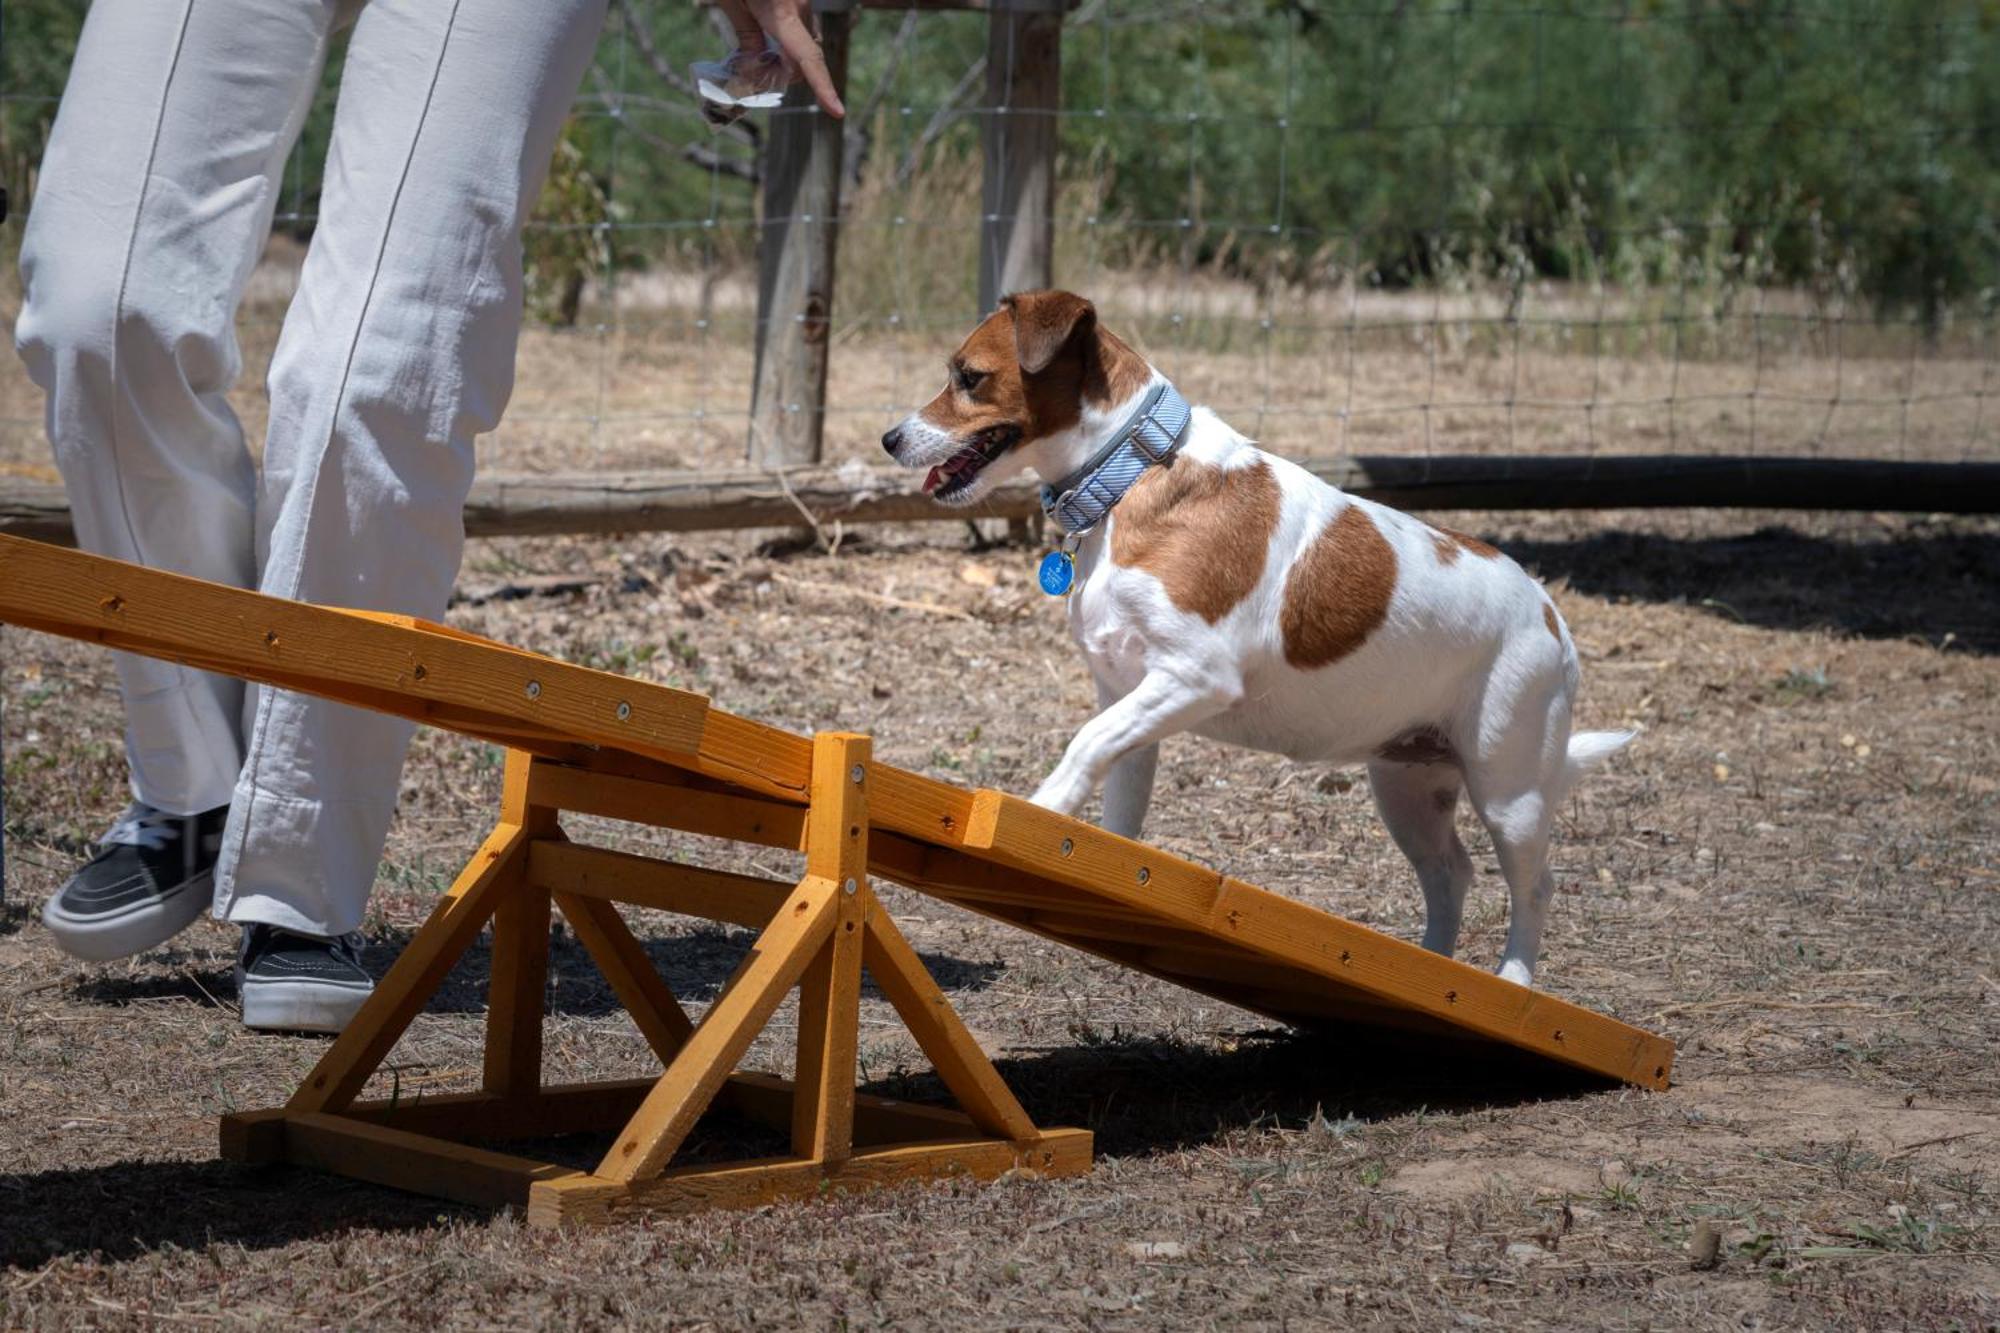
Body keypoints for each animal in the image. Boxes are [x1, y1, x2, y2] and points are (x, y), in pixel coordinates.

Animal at [884, 294, 1632, 984]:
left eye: (969, 377)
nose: (890, 438)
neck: (1129, 475)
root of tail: (1551, 613)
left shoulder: (1195, 678)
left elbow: (1084, 744)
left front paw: (1043, 807)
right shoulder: (1127, 698)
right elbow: (1117, 810)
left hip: (1510, 792)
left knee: (1534, 887)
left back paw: (1513, 982)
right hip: (1408, 787)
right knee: (1451, 872)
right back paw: (1435, 971)